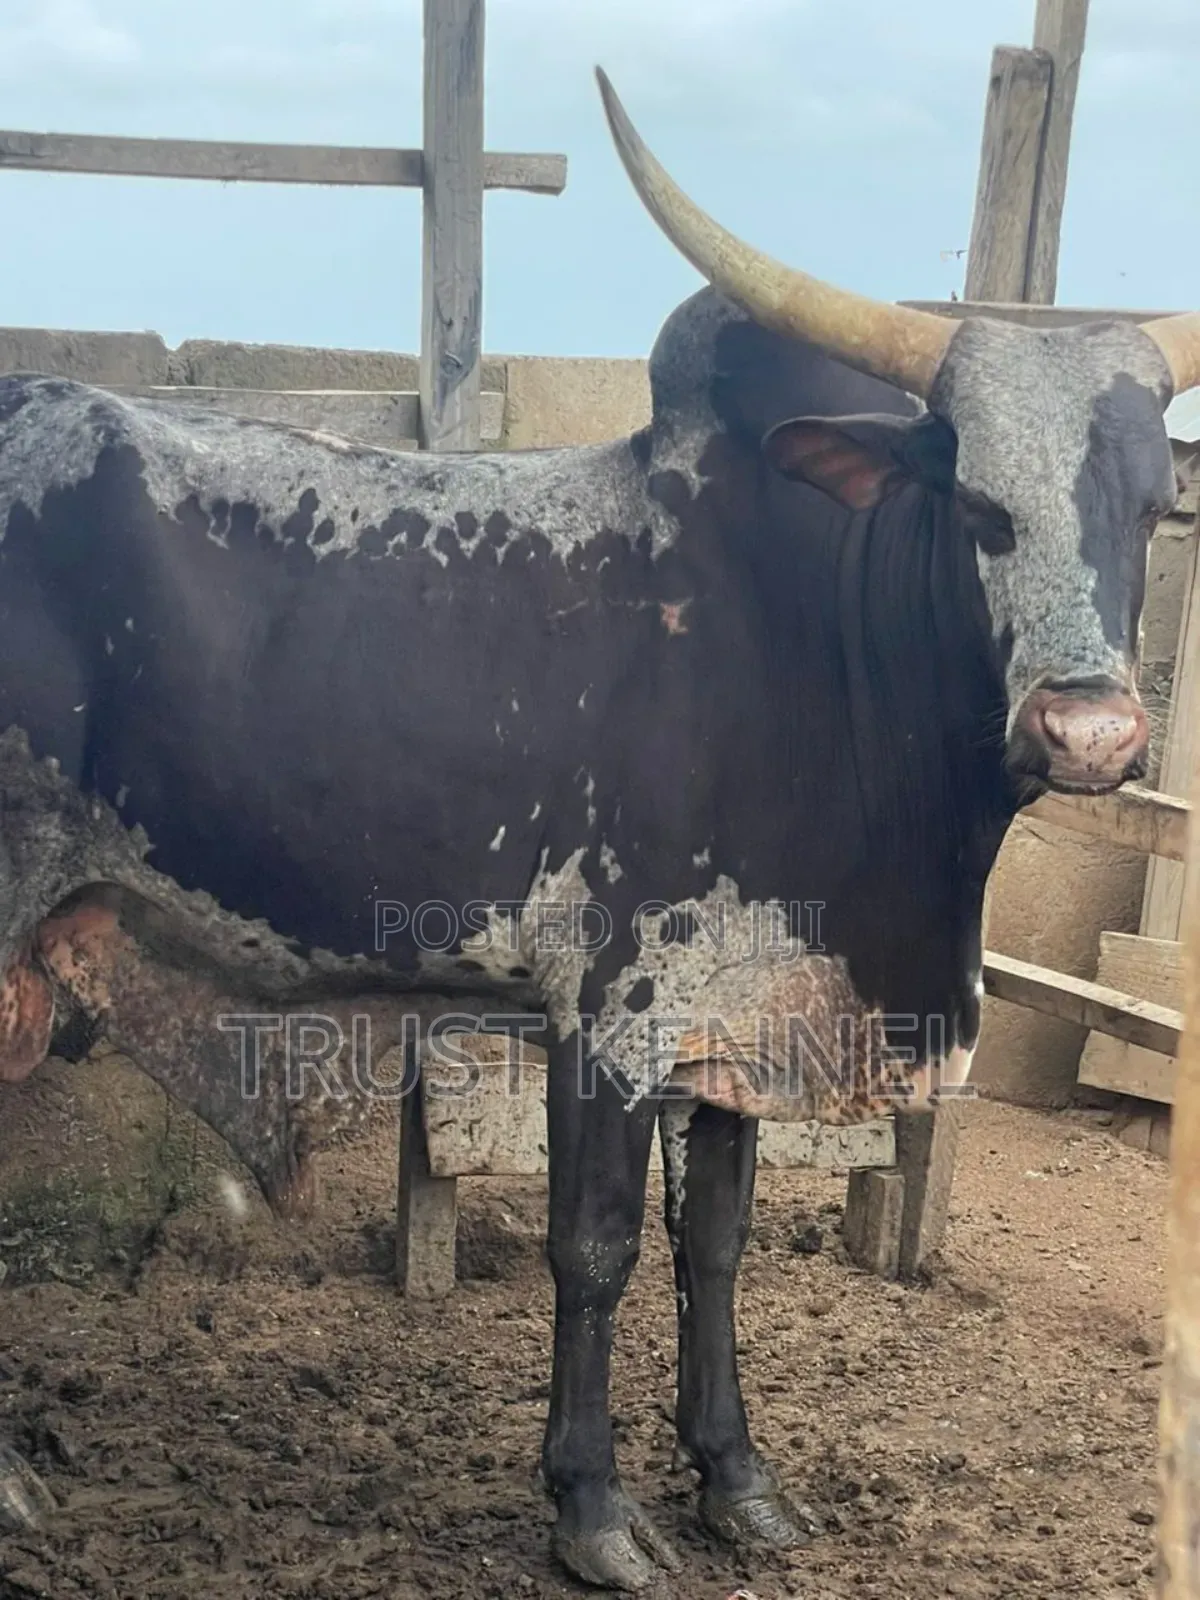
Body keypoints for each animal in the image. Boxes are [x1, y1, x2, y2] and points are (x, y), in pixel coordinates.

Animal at [1, 66, 1198, 1589]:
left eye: (1151, 508)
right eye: (979, 502)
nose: (1089, 733)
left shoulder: (744, 1015)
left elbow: (718, 1246)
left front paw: (738, 1478)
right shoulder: (609, 1008)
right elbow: (599, 1247)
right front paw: (594, 1508)